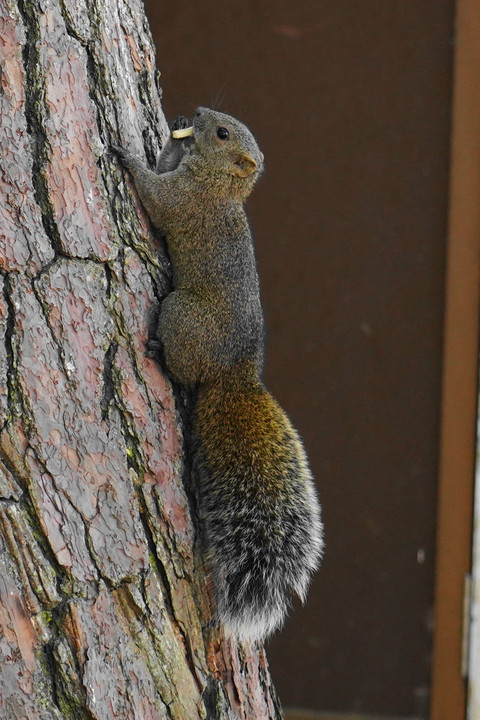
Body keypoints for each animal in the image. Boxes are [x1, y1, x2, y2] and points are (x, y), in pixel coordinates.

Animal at [112, 108, 322, 640]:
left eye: (224, 133)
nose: (198, 115)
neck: (218, 183)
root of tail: (235, 372)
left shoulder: (183, 202)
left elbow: (155, 196)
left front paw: (128, 156)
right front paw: (173, 136)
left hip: (181, 314)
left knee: (184, 371)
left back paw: (158, 352)